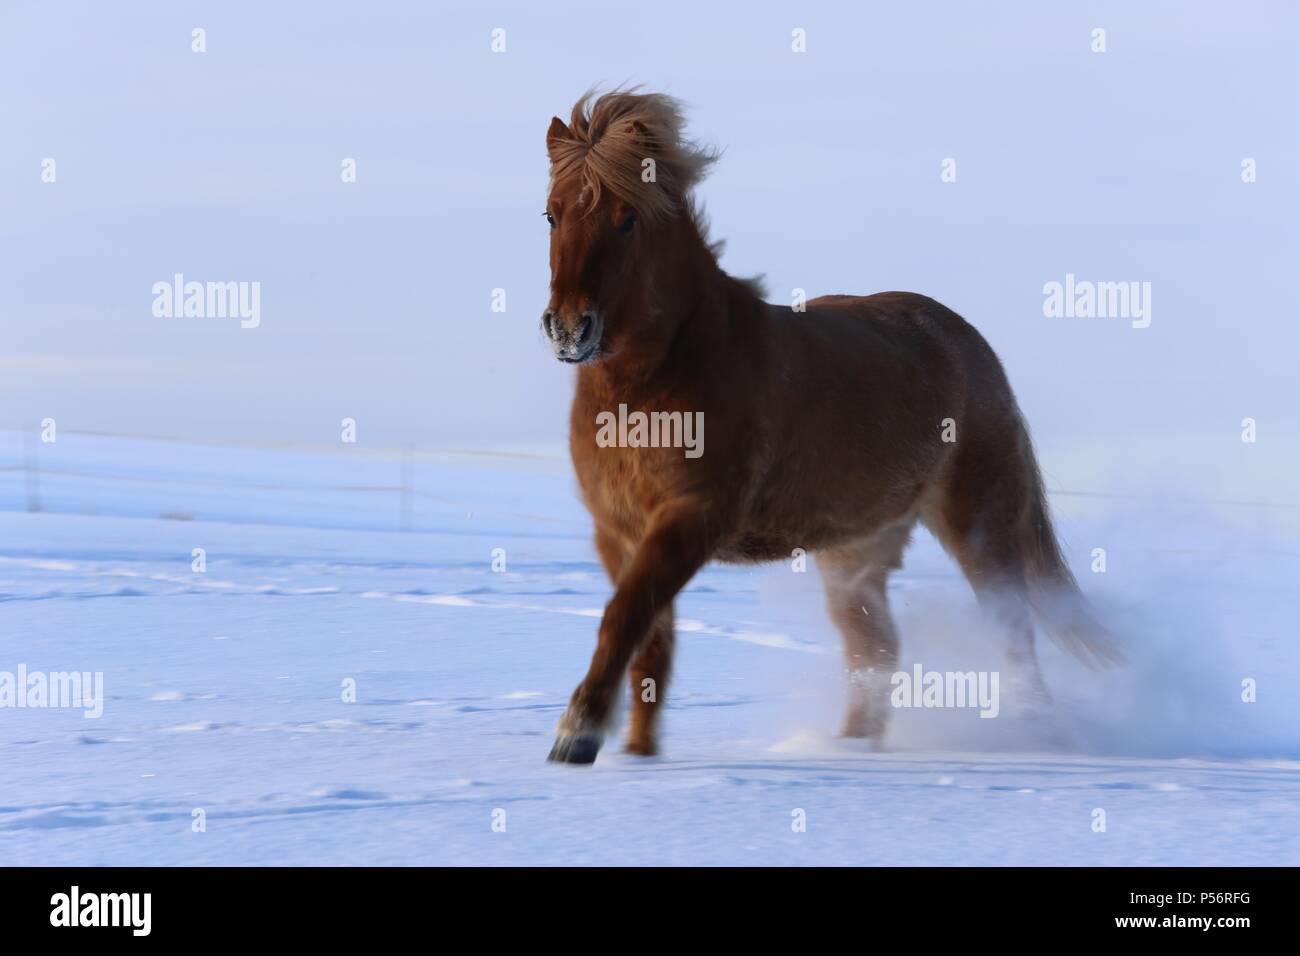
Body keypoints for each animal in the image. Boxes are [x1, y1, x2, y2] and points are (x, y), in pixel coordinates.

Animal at [539, 90, 1119, 764]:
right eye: (551, 215)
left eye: (627, 219)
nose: (569, 328)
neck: (653, 387)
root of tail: (969, 344)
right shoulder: (617, 531)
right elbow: (648, 642)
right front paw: (636, 754)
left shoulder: (689, 518)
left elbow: (624, 618)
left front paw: (577, 734)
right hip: (854, 553)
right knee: (875, 648)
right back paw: (847, 751)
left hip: (979, 526)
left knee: (1011, 630)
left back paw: (1035, 737)